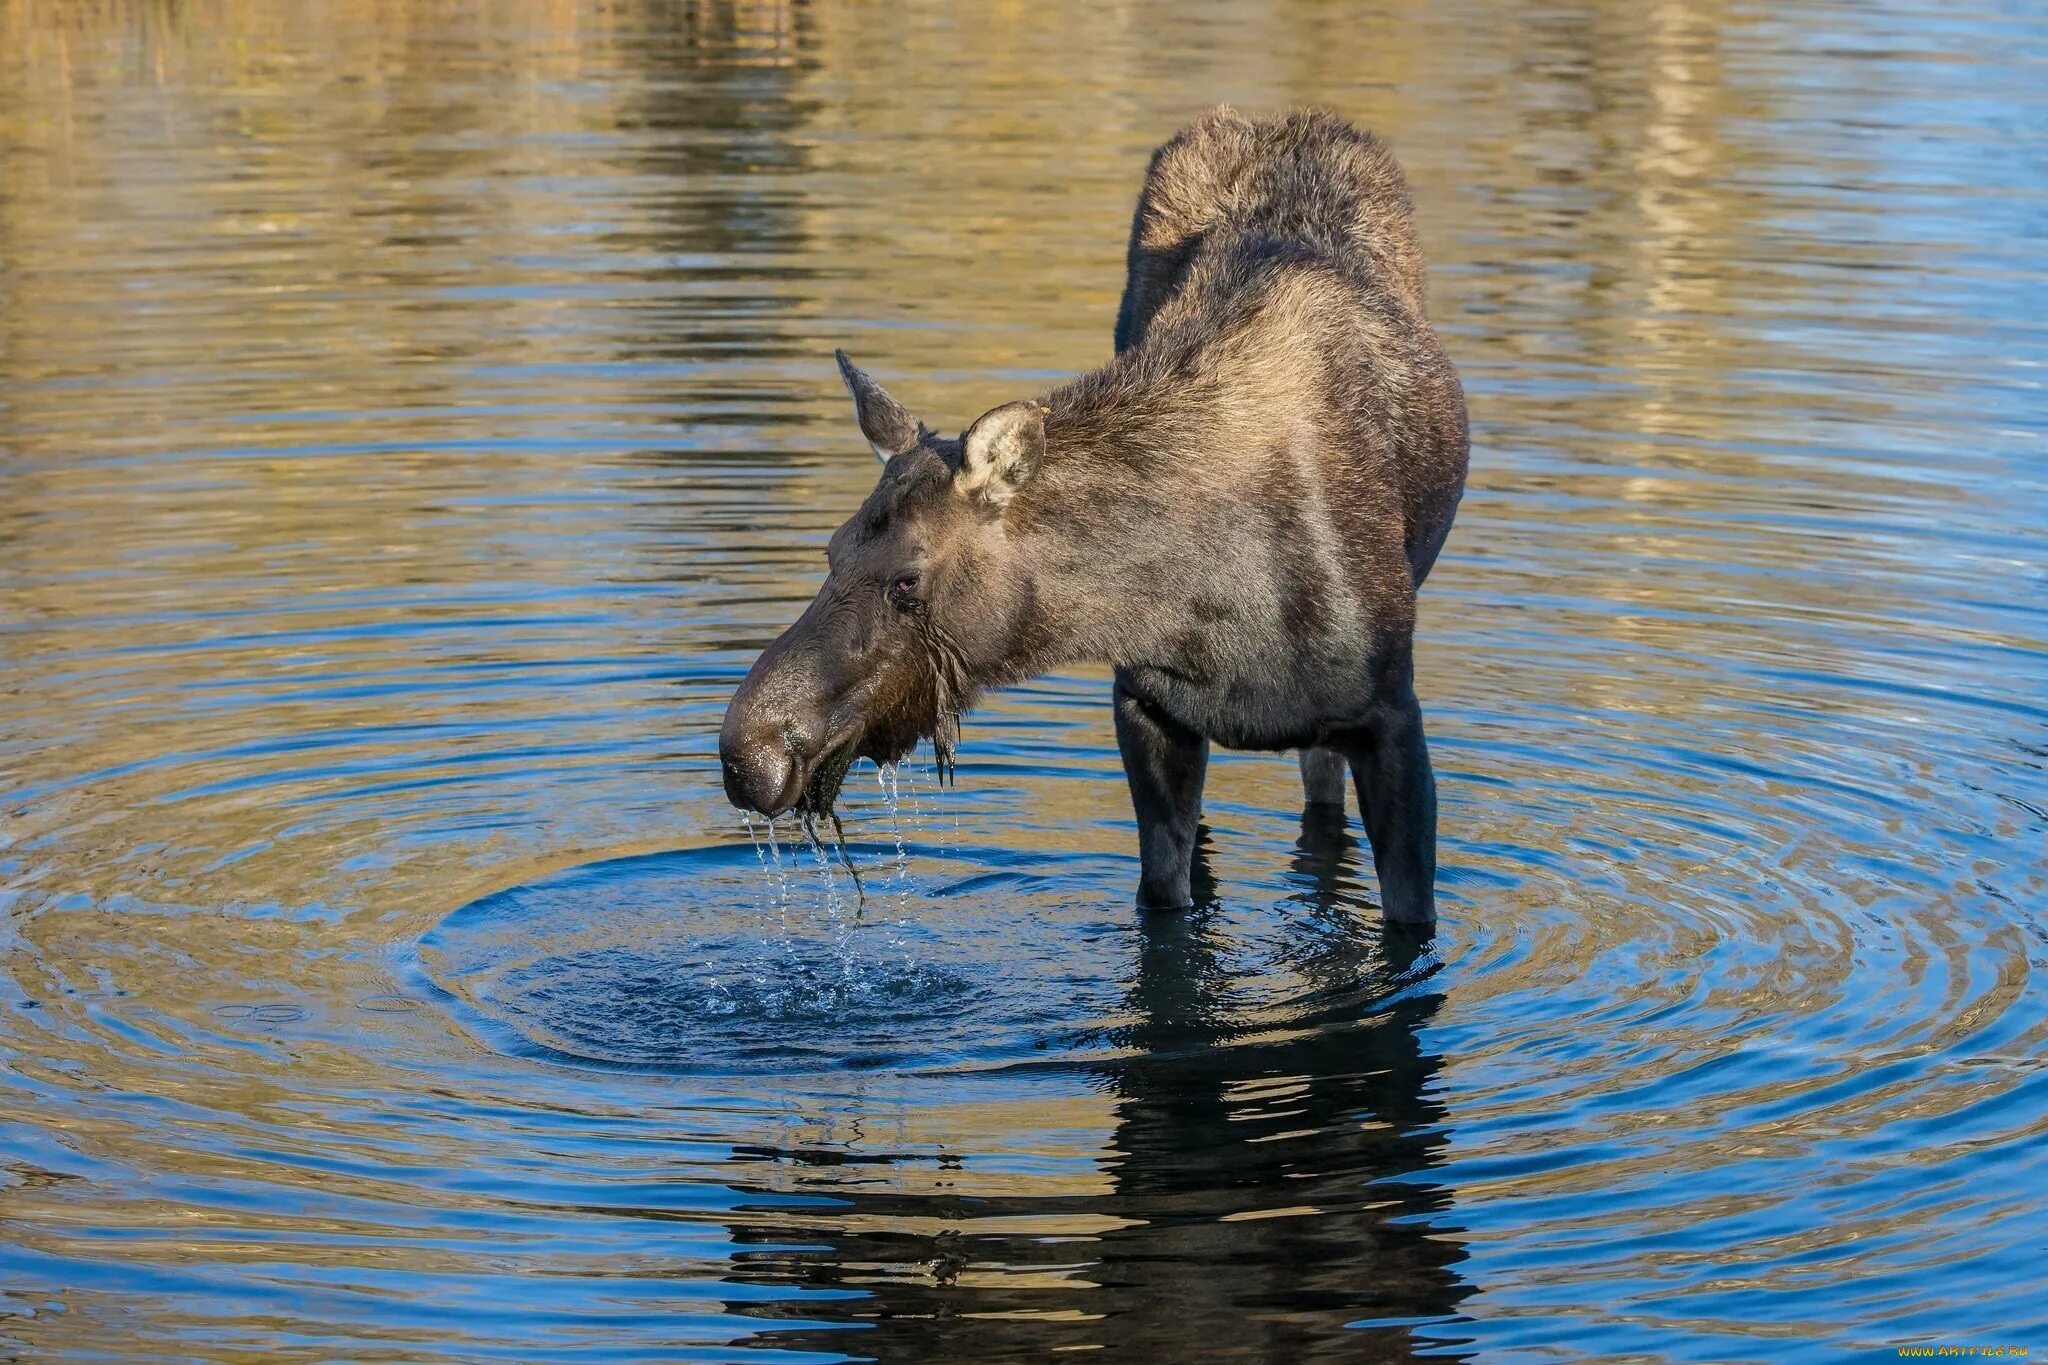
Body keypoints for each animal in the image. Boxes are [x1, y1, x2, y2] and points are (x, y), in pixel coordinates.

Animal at [712, 104, 1466, 916]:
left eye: (907, 579)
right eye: (832, 550)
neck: (1206, 603)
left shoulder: (1390, 718)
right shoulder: (1145, 707)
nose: (747, 752)